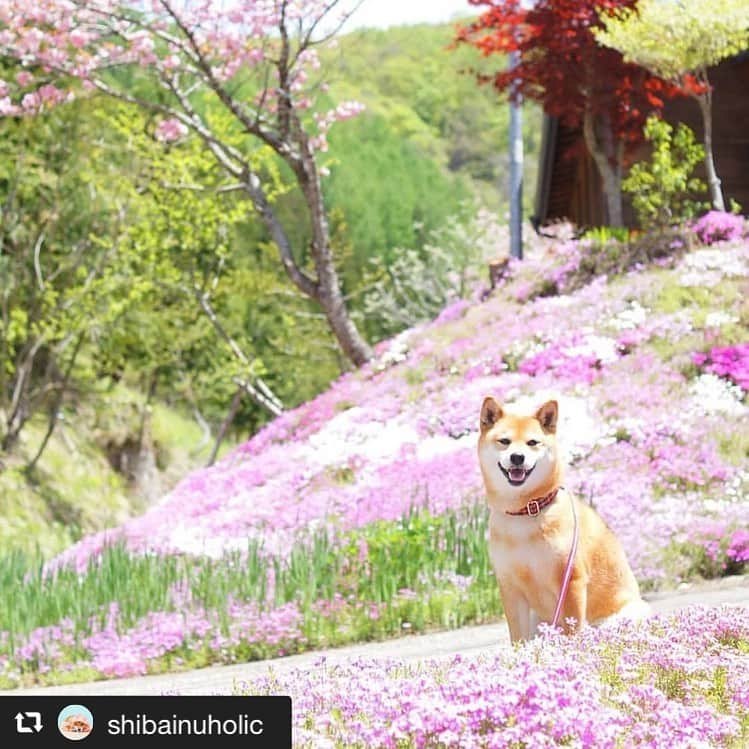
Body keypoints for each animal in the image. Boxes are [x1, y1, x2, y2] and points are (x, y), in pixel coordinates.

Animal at [480, 398, 648, 644]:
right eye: (504, 441)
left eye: (532, 442)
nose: (517, 457)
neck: (526, 511)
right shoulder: (510, 586)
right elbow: (518, 638)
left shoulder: (570, 580)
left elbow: (573, 629)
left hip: (625, 615)